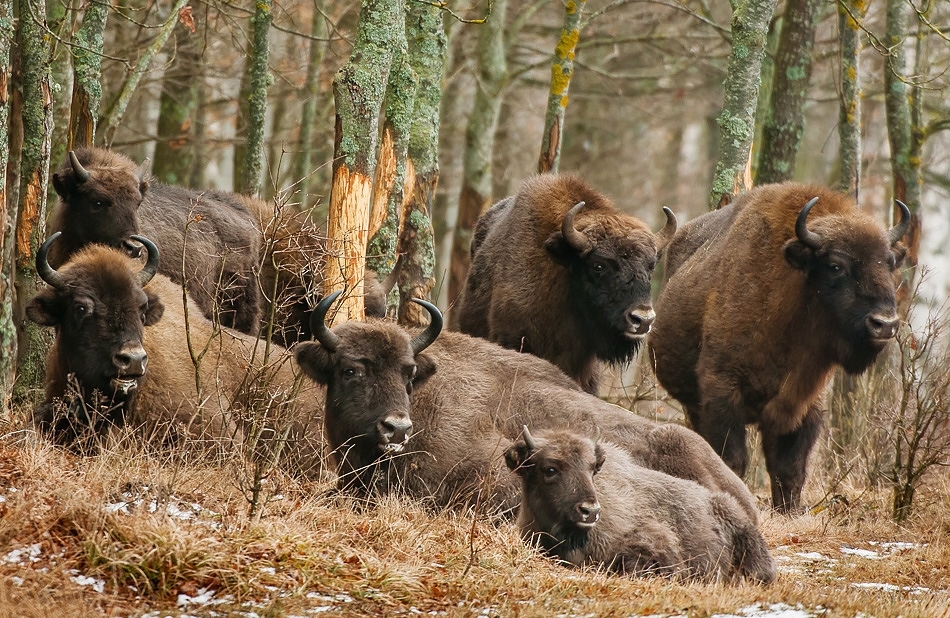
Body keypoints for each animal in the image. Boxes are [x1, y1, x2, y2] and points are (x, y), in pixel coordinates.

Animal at [649, 183, 909, 512]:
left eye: (889, 263)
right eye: (836, 265)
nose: (884, 324)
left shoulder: (805, 406)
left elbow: (790, 468)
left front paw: (788, 511)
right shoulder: (722, 391)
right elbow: (732, 460)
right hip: (692, 402)